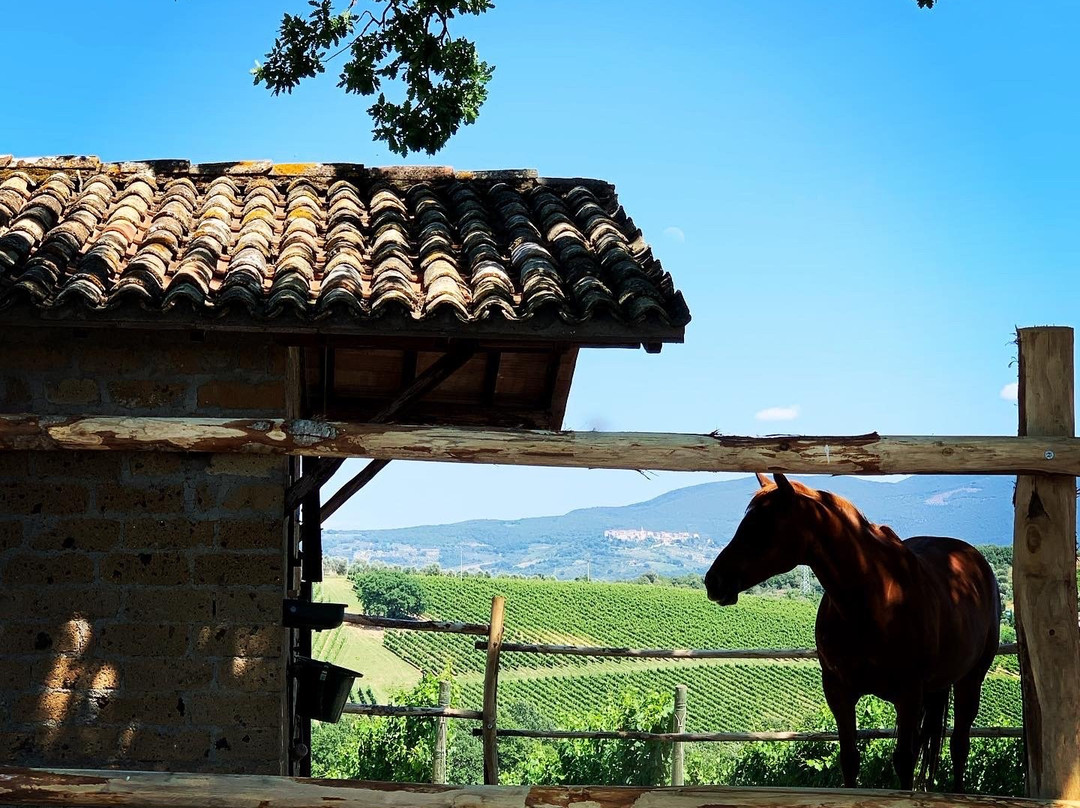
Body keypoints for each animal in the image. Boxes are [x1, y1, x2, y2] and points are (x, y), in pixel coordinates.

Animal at [704, 470, 997, 790]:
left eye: (762, 525)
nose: (713, 581)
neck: (873, 598)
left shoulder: (908, 695)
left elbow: (904, 762)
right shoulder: (839, 691)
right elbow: (849, 759)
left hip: (971, 680)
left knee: (959, 746)